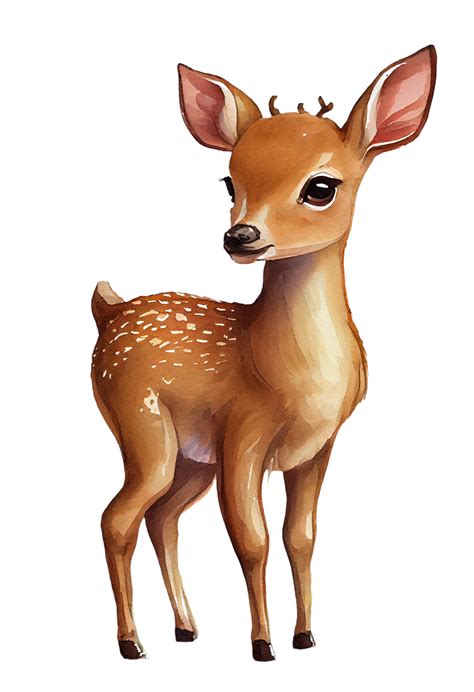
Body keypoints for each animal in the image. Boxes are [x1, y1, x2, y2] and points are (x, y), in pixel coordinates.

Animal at [91, 45, 436, 662]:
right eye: (230, 182)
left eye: (321, 186)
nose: (240, 237)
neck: (284, 370)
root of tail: (108, 311)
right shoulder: (242, 430)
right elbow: (252, 541)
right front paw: (262, 645)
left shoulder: (316, 448)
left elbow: (301, 537)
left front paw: (305, 636)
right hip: (141, 423)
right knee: (117, 518)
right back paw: (132, 643)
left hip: (189, 459)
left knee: (162, 517)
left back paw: (186, 628)